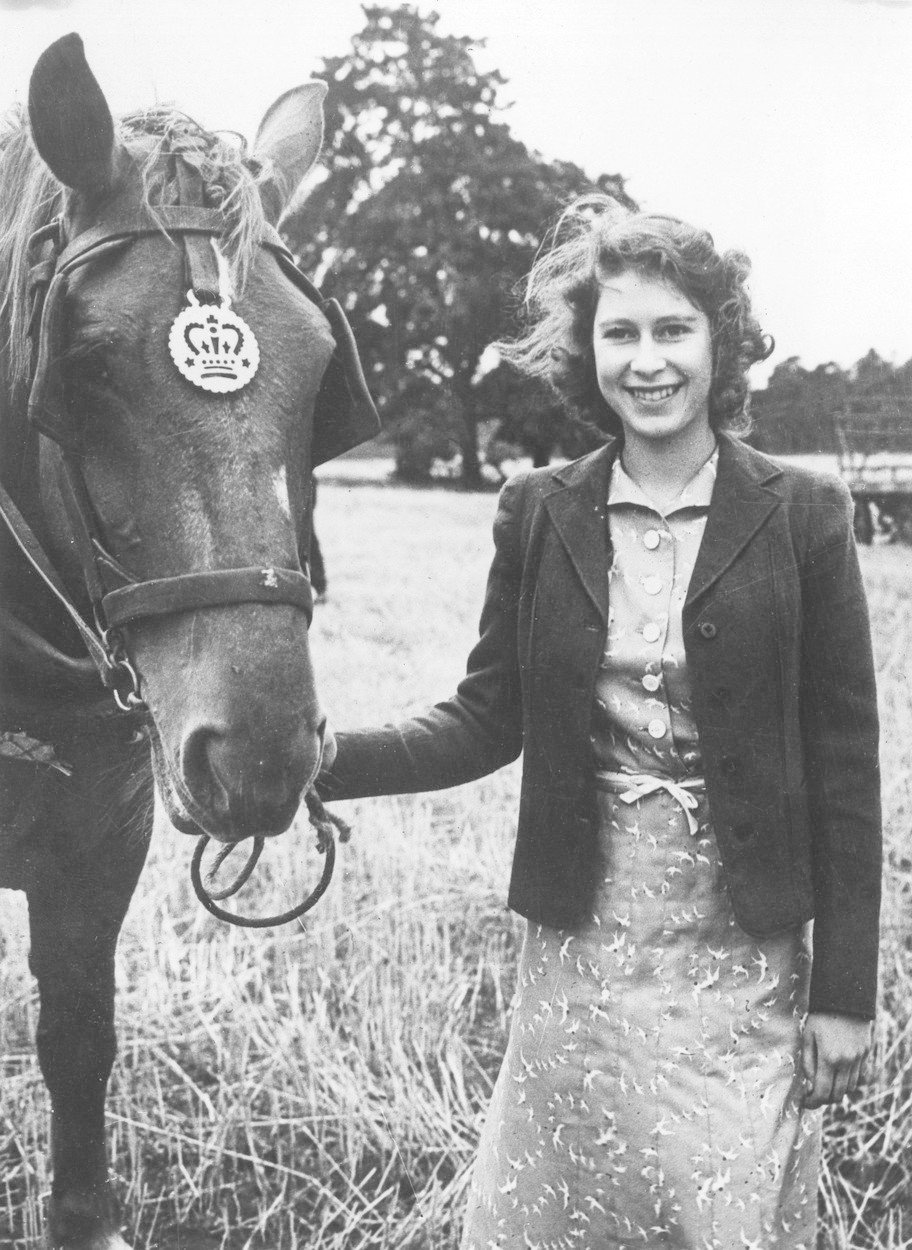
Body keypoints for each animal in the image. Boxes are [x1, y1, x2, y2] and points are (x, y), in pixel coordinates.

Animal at [0, 34, 377, 1245]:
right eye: (85, 366)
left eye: (323, 372)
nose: (259, 756)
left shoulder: (100, 840)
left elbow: (79, 1034)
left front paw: (84, 1213)